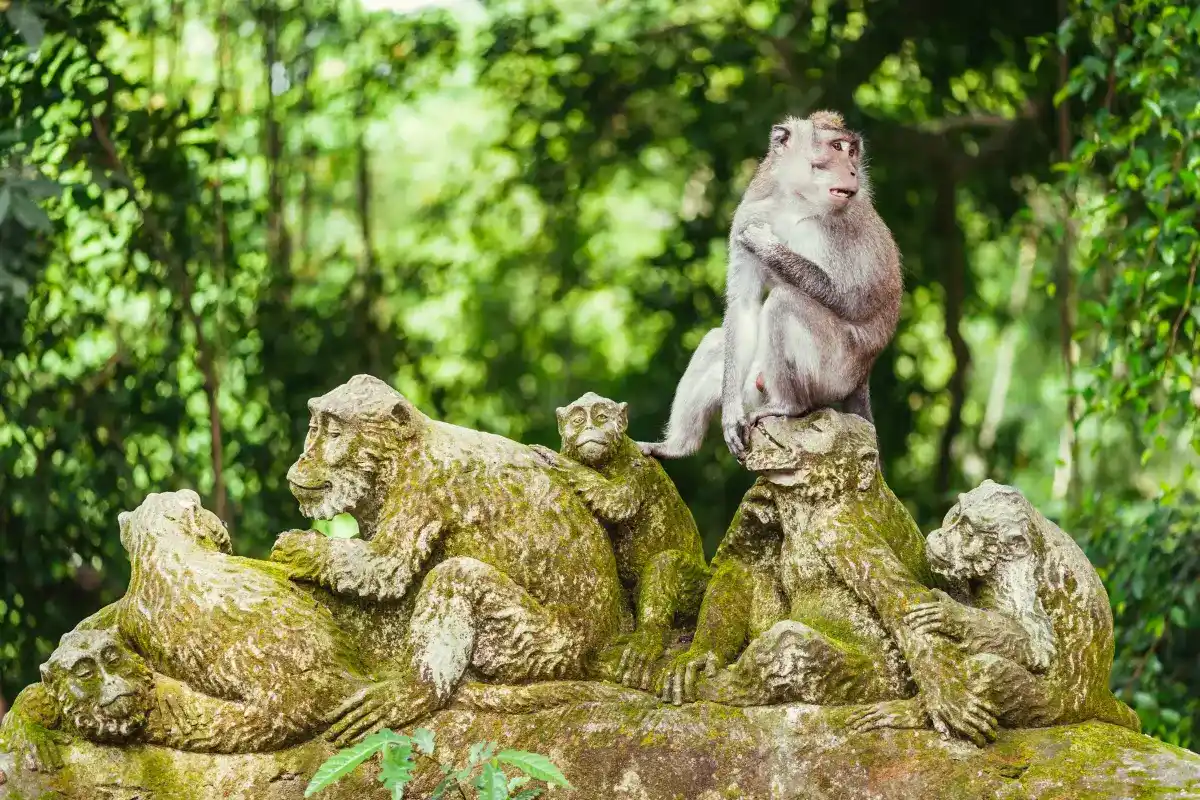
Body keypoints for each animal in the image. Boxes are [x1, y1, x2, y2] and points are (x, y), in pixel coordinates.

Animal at [638, 110, 902, 462]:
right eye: (837, 146)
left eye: (852, 151)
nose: (852, 170)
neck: (796, 201)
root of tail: (862, 377)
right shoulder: (750, 210)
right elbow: (743, 306)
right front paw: (729, 417)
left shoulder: (842, 223)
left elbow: (853, 300)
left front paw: (767, 247)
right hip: (754, 383)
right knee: (716, 342)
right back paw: (676, 448)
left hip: (835, 374)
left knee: (784, 303)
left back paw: (790, 406)